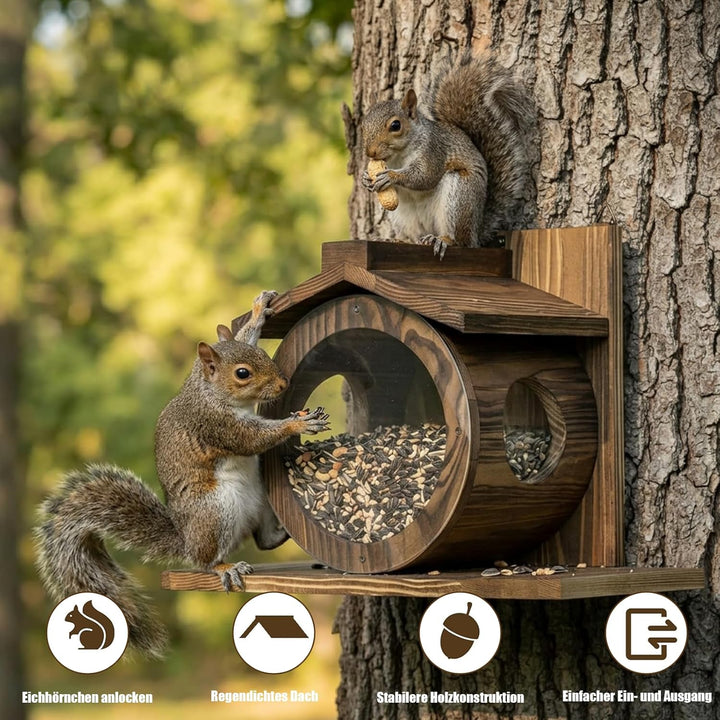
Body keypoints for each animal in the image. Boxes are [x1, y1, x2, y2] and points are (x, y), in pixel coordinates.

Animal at [35, 290, 330, 658]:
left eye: (263, 353)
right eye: (243, 373)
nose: (282, 383)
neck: (207, 389)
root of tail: (186, 539)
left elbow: (243, 333)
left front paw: (257, 311)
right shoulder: (215, 425)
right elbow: (251, 440)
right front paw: (297, 424)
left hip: (258, 497)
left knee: (262, 539)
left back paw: (280, 534)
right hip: (215, 511)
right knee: (205, 560)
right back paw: (225, 567)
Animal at [361, 51, 535, 257]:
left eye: (396, 125)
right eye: (363, 124)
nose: (370, 151)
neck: (397, 157)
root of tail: (476, 231)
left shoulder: (434, 150)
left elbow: (424, 176)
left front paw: (391, 176)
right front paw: (366, 178)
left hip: (459, 197)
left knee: (461, 241)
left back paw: (443, 240)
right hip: (402, 217)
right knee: (414, 237)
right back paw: (399, 239)